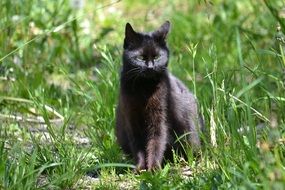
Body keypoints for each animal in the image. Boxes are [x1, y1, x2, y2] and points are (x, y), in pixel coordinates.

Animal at [114, 20, 201, 171]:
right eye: (140, 57)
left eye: (157, 56)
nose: (150, 67)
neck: (143, 89)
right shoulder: (131, 119)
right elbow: (138, 146)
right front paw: (140, 167)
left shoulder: (159, 118)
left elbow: (156, 143)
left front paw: (153, 169)